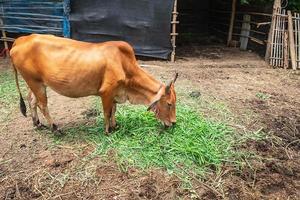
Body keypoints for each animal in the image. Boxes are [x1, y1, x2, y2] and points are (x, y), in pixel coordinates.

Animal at [9, 34, 178, 134]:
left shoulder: (115, 93)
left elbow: (114, 110)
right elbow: (107, 112)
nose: (174, 123)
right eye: (169, 104)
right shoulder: (106, 92)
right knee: (42, 105)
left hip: (35, 83)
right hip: (35, 82)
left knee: (32, 101)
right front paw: (108, 130)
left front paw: (115, 125)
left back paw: (37, 124)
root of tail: (21, 39)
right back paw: (55, 129)